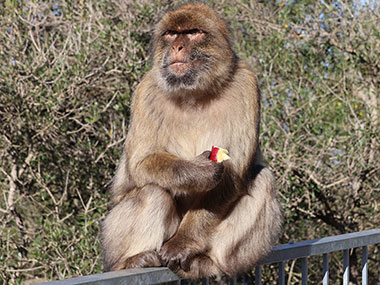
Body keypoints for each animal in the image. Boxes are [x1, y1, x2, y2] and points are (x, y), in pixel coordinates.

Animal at [101, 2, 282, 280]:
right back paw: (131, 262)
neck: (194, 94)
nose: (177, 46)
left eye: (193, 32)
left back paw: (210, 263)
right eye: (172, 34)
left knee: (262, 179)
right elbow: (141, 162)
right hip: (112, 238)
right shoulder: (146, 91)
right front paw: (197, 171)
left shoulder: (245, 85)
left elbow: (231, 178)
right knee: (153, 192)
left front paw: (181, 244)